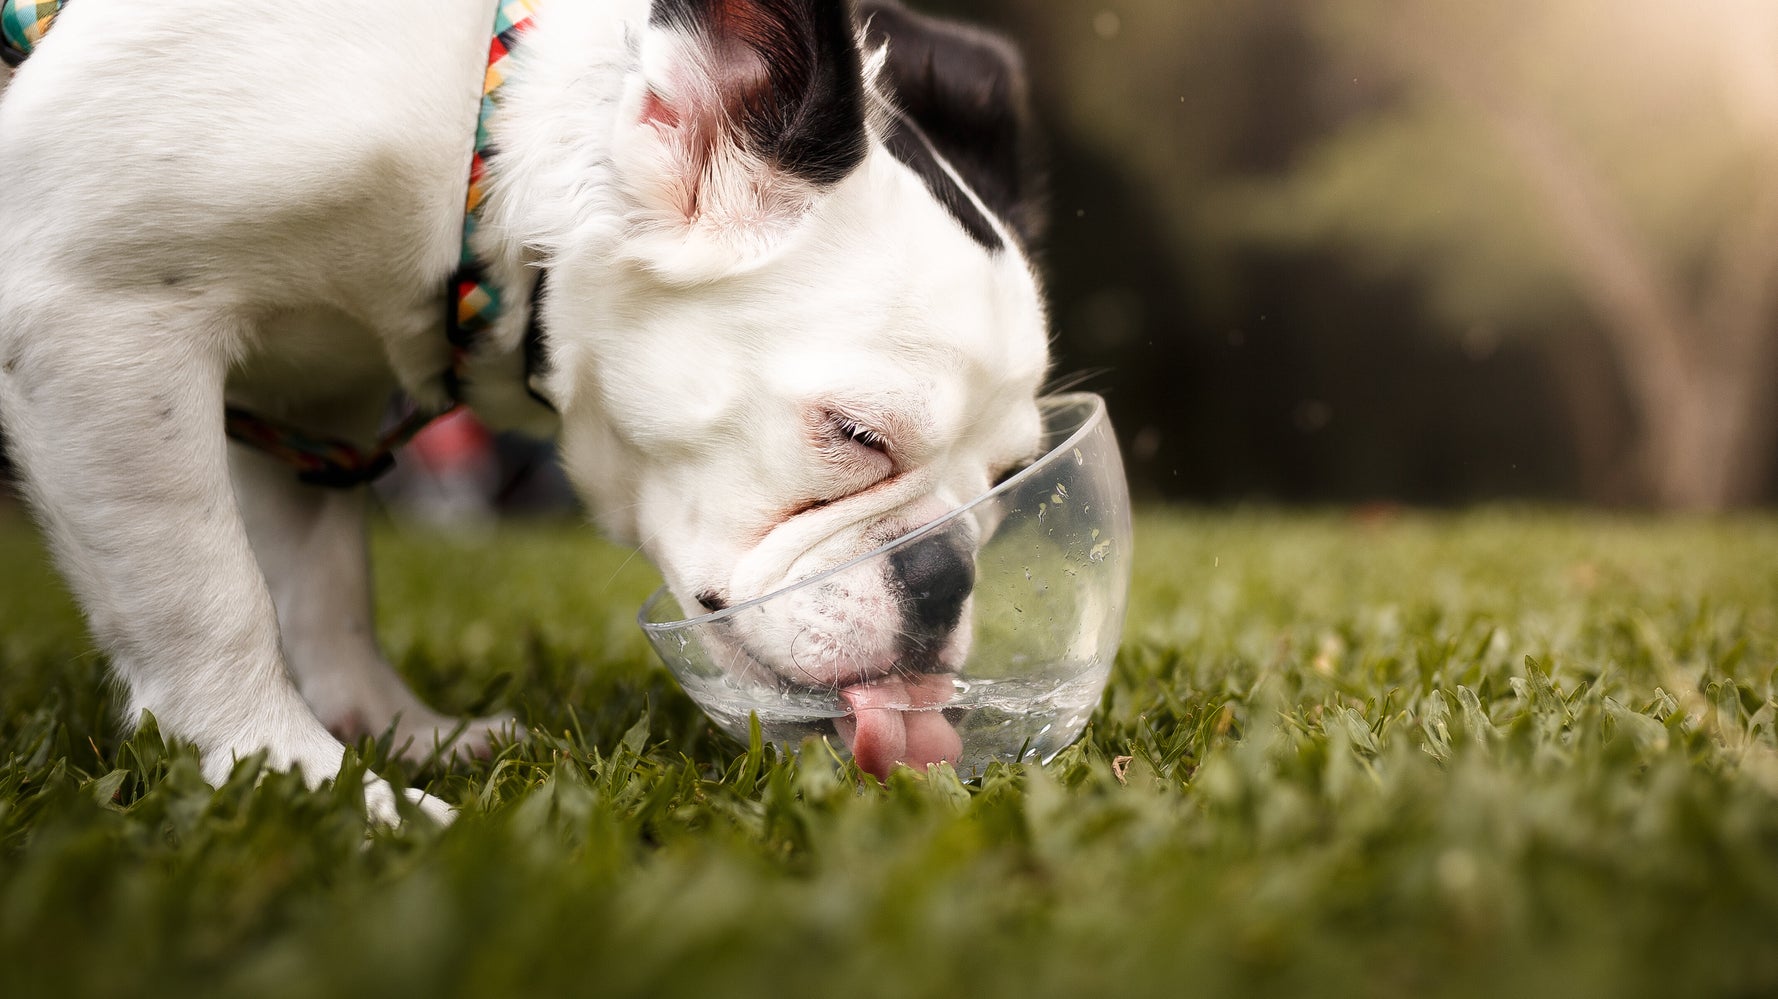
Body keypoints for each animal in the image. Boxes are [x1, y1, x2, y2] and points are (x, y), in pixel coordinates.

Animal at [0, 0, 1045, 817]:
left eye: (1003, 481)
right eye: (855, 435)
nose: (946, 574)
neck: (483, 144)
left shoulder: (312, 405)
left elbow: (324, 579)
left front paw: (381, 728)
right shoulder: (97, 319)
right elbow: (211, 604)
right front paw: (297, 777)